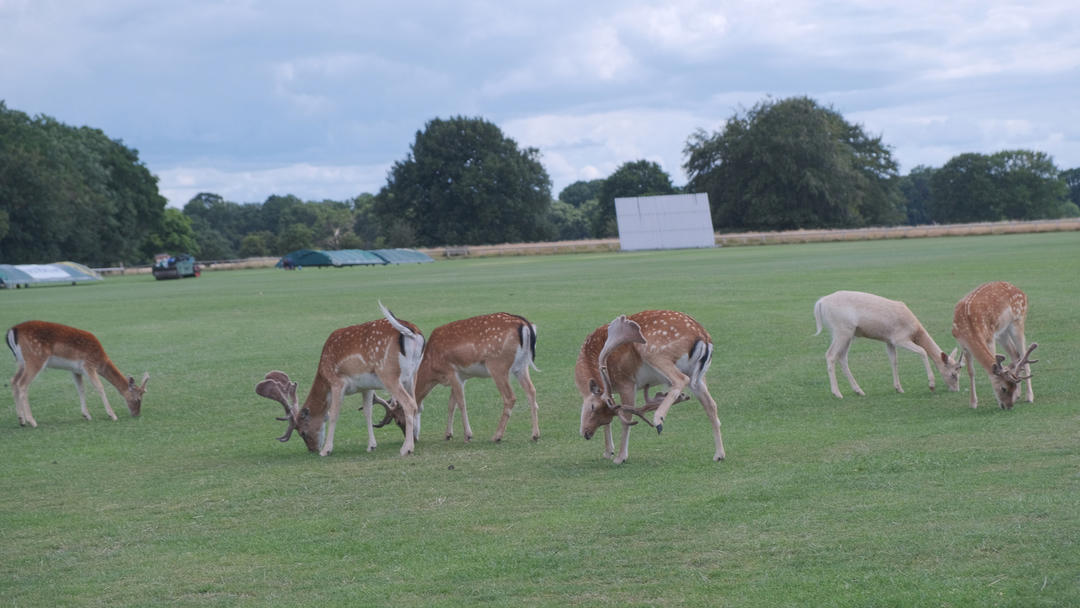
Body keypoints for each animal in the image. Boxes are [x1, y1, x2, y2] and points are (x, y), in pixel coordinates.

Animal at [5, 319, 150, 427]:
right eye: (138, 398)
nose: (136, 414)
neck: (100, 360)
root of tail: (12, 330)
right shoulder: (88, 365)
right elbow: (100, 387)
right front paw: (112, 415)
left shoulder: (75, 370)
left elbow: (81, 389)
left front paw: (86, 415)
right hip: (35, 358)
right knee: (22, 384)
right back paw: (32, 421)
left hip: (21, 362)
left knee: (13, 381)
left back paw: (21, 420)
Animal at [252, 304, 421, 457]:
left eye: (302, 432)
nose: (312, 449)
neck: (323, 372)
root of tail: (413, 332)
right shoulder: (366, 387)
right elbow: (367, 412)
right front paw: (371, 446)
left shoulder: (337, 382)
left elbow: (333, 413)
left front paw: (326, 450)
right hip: (412, 375)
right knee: (415, 404)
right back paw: (413, 440)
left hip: (389, 374)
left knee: (408, 403)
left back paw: (406, 448)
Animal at [578, 311, 721, 464]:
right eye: (607, 420)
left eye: (592, 406)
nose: (587, 433)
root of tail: (704, 338)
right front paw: (608, 452)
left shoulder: (626, 382)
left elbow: (627, 418)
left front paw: (620, 457)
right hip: (699, 377)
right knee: (711, 405)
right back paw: (719, 455)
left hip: (653, 351)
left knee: (680, 379)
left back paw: (658, 419)